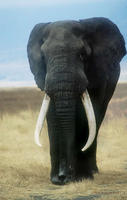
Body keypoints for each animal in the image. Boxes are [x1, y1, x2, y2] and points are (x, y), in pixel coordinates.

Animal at [27, 17, 126, 184]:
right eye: (44, 57)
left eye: (82, 55)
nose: (63, 176)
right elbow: (52, 115)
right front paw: (57, 179)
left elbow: (87, 117)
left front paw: (82, 177)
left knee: (97, 120)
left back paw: (93, 172)